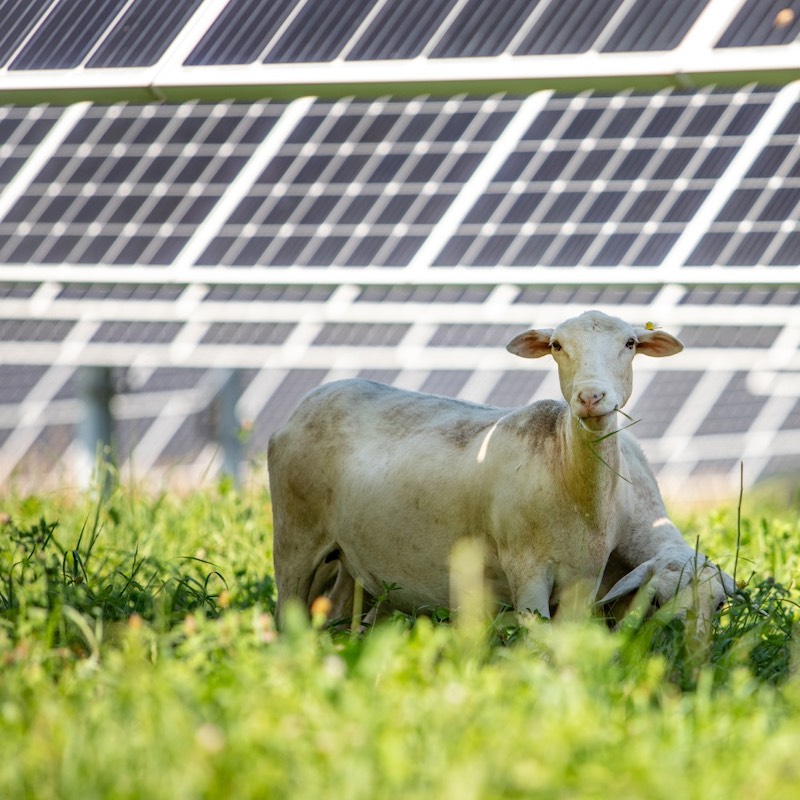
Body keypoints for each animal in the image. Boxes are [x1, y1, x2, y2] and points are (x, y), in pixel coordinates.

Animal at [268, 310, 732, 628]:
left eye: (631, 343)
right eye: (557, 346)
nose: (590, 396)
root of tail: (313, 398)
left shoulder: (583, 582)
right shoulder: (527, 571)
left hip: (352, 561)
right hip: (295, 540)